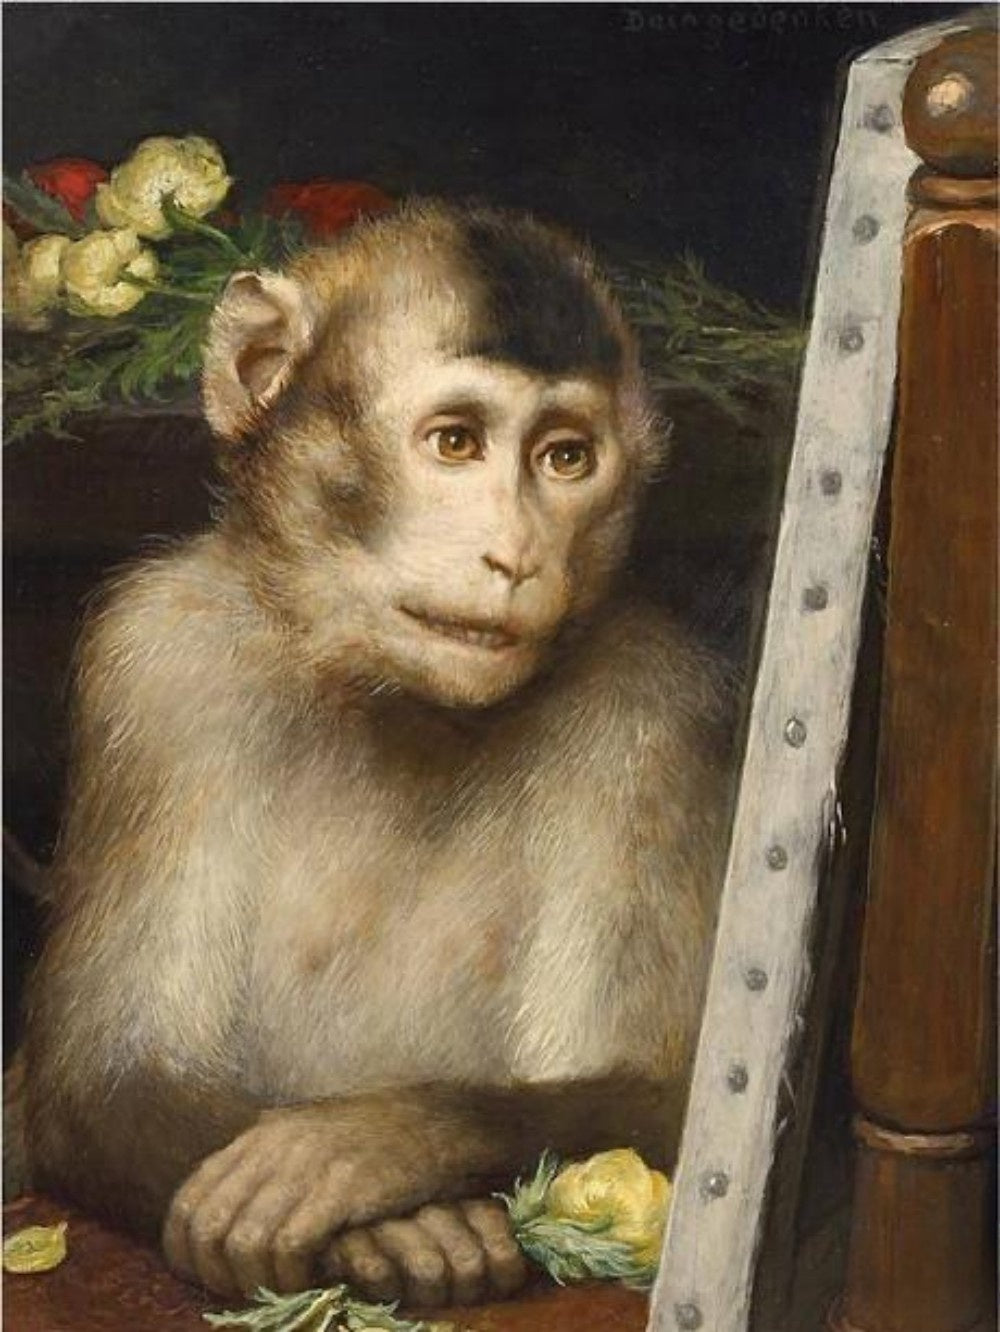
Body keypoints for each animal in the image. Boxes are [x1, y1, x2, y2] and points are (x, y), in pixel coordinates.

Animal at [23, 201, 733, 1310]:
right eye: (456, 443)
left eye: (565, 459)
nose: (514, 555)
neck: (398, 697)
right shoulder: (154, 661)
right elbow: (103, 1077)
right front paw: (400, 1228)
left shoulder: (658, 711)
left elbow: (675, 1095)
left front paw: (383, 1144)